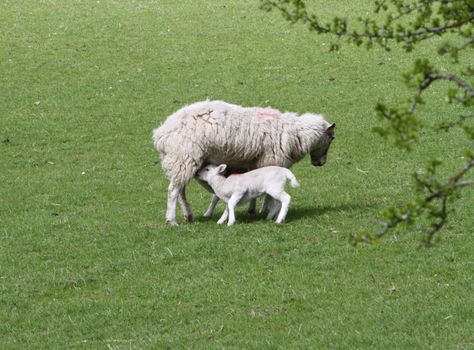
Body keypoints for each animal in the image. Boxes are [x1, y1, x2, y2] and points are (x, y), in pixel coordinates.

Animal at [154, 99, 336, 224]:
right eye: (331, 138)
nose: (321, 162)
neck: (295, 134)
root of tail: (160, 134)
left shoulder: (252, 164)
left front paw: (253, 209)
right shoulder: (270, 160)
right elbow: (268, 193)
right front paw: (265, 210)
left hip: (181, 162)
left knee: (180, 190)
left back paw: (188, 215)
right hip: (183, 158)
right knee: (173, 191)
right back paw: (171, 220)